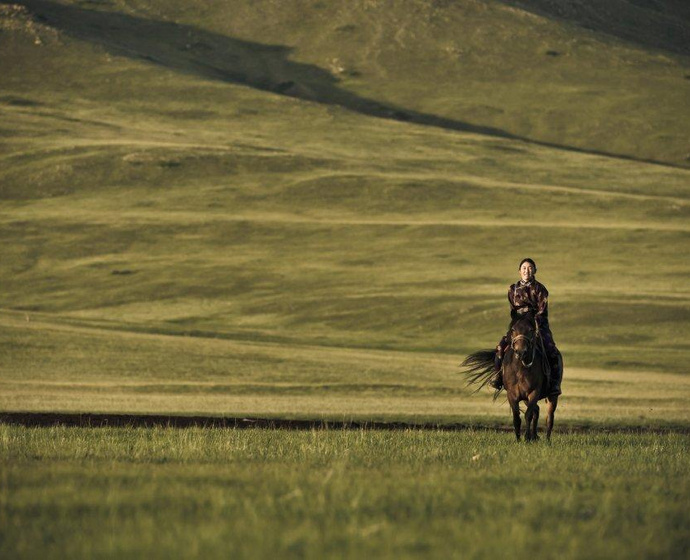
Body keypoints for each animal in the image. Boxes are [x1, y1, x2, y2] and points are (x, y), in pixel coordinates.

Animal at [456, 312, 560, 440]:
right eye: (513, 329)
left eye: (531, 330)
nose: (521, 351)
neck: (521, 369)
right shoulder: (512, 394)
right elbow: (516, 418)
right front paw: (519, 439)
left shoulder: (533, 392)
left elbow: (528, 415)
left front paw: (526, 438)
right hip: (525, 399)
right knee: (537, 411)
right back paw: (534, 436)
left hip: (551, 397)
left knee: (549, 417)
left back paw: (546, 440)